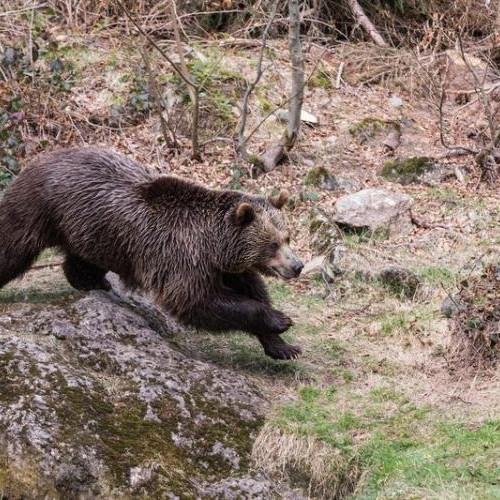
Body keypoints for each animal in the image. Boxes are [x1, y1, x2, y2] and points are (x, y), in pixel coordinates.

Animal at [0, 147, 304, 360]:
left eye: (287, 237)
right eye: (272, 244)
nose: (298, 265)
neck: (213, 246)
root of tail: (40, 157)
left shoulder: (222, 265)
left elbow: (251, 287)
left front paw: (283, 346)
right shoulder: (182, 259)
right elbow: (198, 302)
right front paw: (279, 319)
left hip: (96, 230)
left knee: (84, 258)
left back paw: (93, 281)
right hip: (40, 207)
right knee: (12, 246)